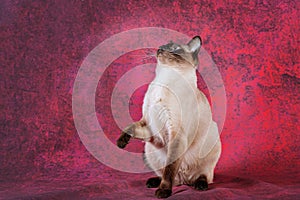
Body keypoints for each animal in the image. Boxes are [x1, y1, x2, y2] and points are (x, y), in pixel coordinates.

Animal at [116, 36, 220, 198]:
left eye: (174, 49)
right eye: (163, 45)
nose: (160, 49)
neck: (164, 81)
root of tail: (185, 181)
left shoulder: (176, 134)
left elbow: (170, 169)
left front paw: (164, 191)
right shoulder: (149, 126)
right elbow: (130, 127)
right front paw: (121, 142)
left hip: (212, 141)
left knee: (203, 175)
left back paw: (199, 186)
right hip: (149, 150)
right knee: (172, 178)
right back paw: (152, 182)